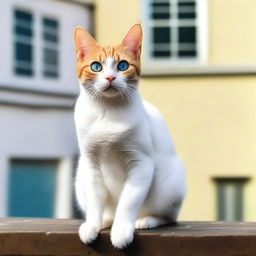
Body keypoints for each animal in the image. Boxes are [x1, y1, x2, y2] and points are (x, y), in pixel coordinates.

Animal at [73, 24, 186, 250]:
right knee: (106, 210)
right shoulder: (90, 164)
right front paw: (92, 225)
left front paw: (121, 230)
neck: (107, 112)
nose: (110, 78)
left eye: (123, 65)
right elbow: (95, 200)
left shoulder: (140, 163)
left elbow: (128, 202)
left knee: (168, 217)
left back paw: (145, 220)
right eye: (96, 67)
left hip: (171, 183)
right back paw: (105, 220)